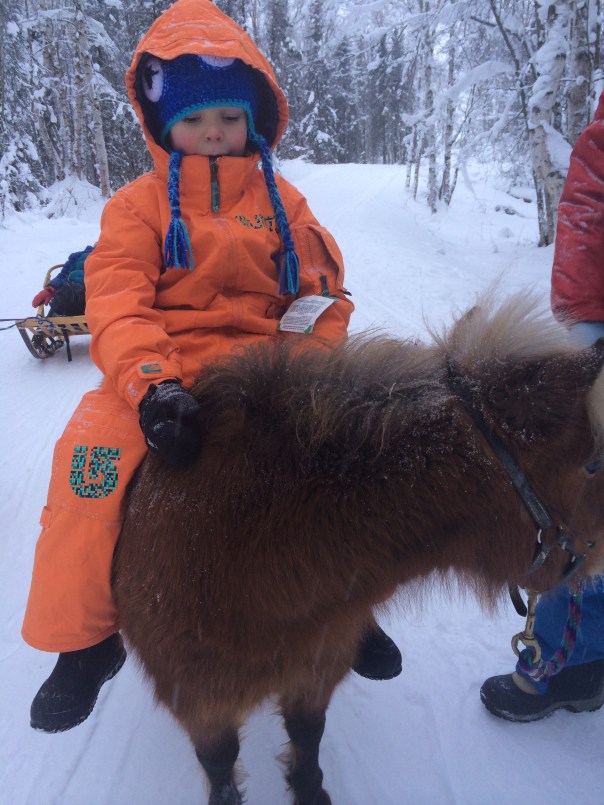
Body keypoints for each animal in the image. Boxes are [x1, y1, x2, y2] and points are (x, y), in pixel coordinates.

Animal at [113, 293, 604, 805]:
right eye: (593, 463)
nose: (597, 557)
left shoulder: (318, 663)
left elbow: (307, 732)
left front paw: (309, 790)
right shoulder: (198, 698)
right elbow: (220, 763)